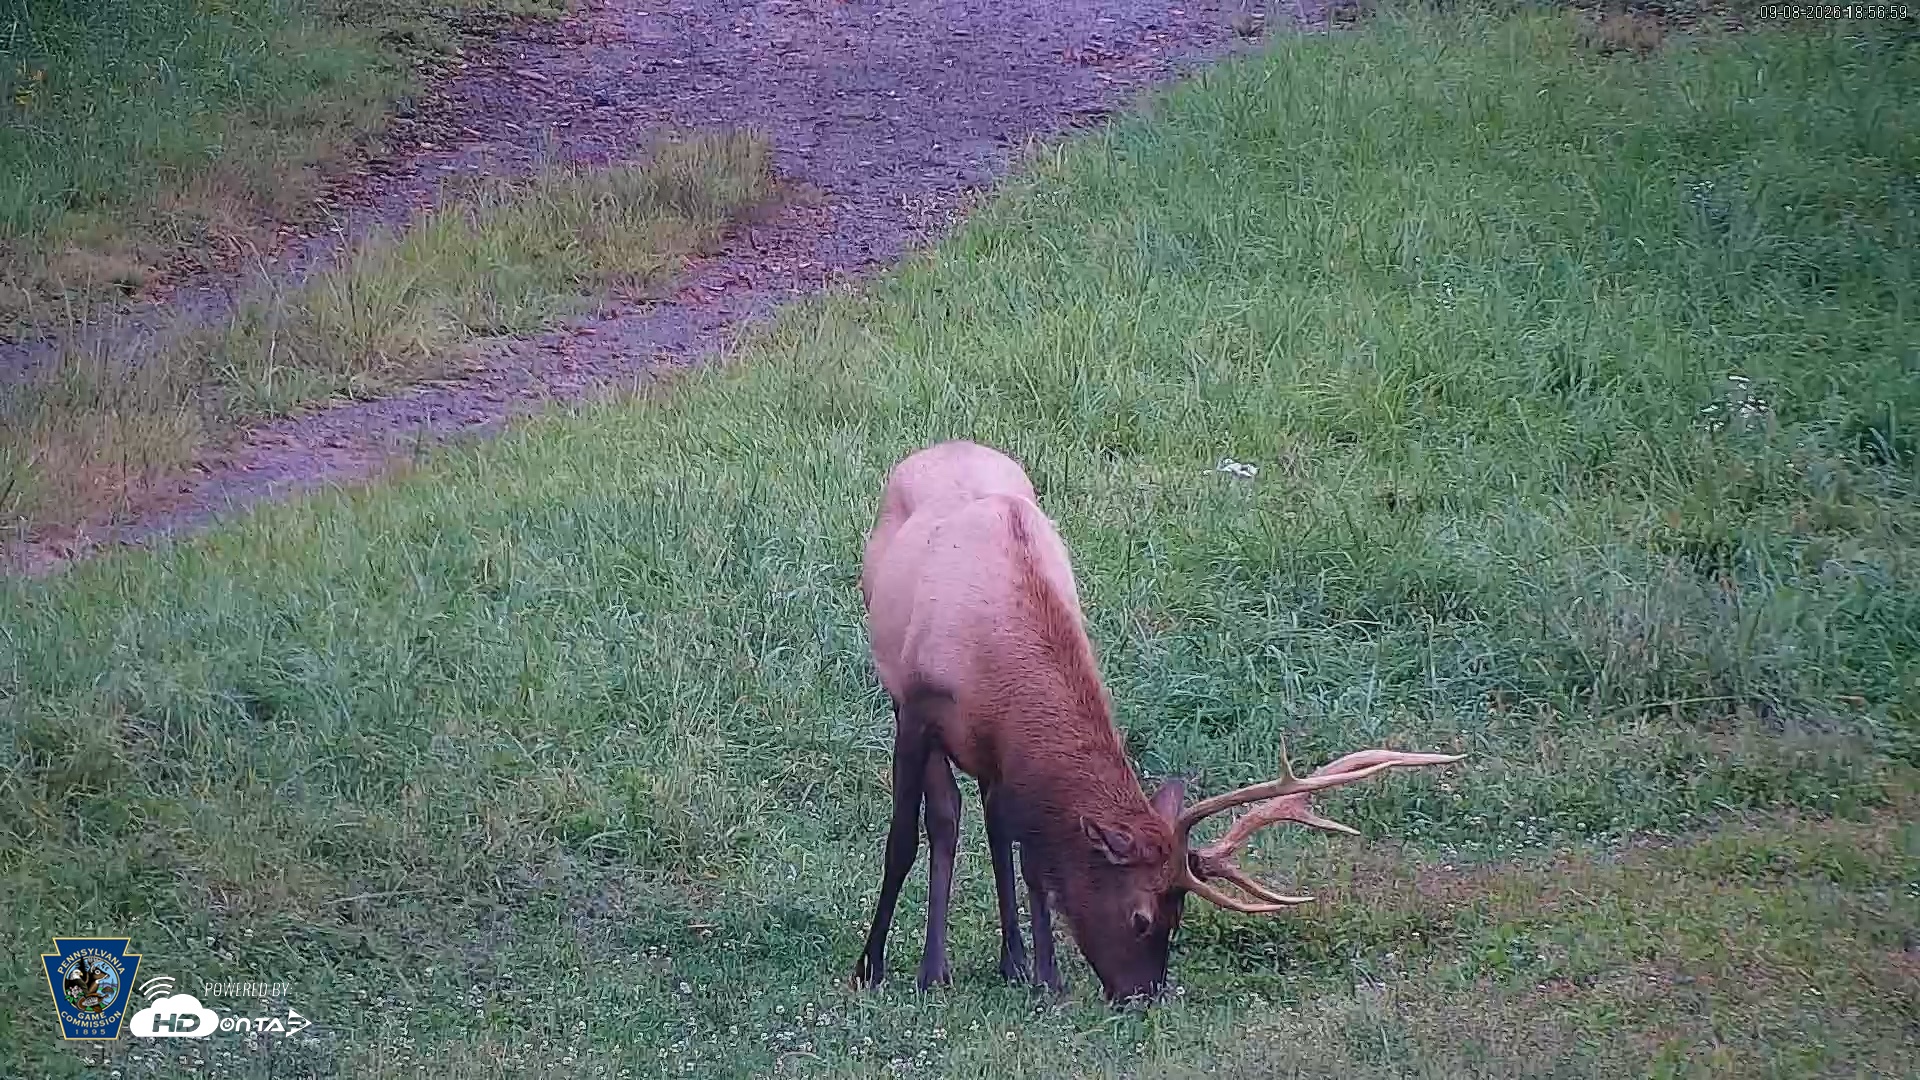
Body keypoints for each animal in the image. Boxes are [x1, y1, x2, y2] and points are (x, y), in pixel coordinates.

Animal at [852, 440, 1463, 1003]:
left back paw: (1011, 962)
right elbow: (903, 840)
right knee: (946, 818)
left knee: (991, 825)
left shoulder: (1009, 748)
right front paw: (871, 967)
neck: (993, 660)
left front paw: (1045, 976)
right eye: (1141, 917)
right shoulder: (917, 709)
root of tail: (940, 447)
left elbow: (1033, 859)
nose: (1143, 996)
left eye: (1179, 916)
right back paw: (933, 969)